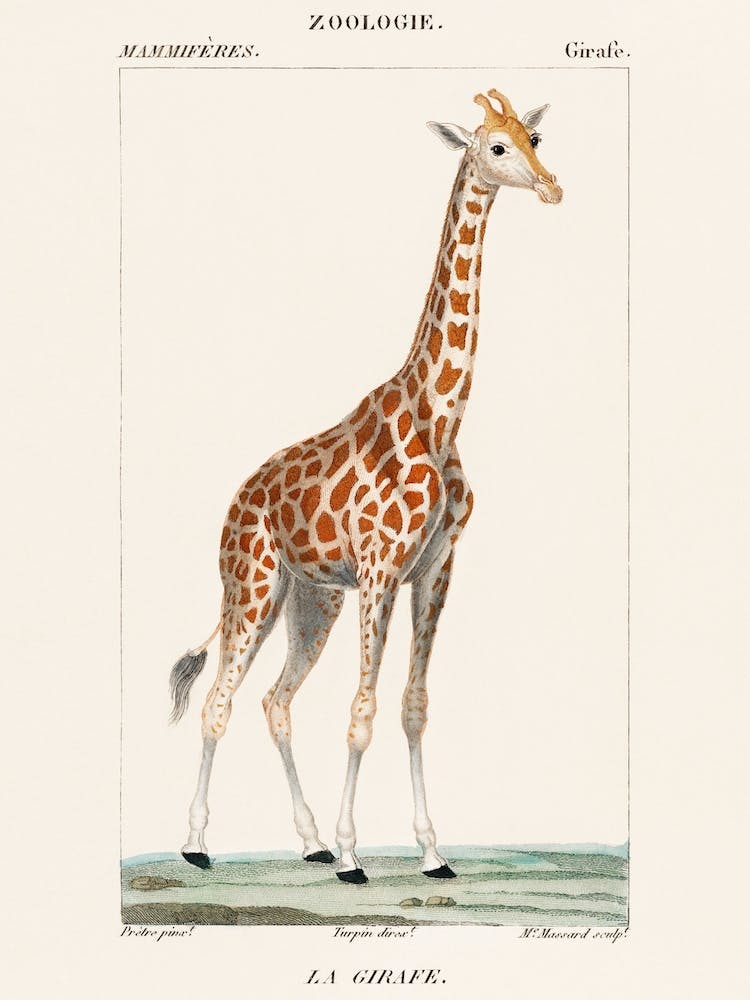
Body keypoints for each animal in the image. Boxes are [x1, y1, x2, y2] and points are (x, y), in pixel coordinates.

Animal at [169, 89, 563, 883]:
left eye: (533, 138)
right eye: (494, 147)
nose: (551, 187)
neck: (440, 416)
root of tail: (233, 504)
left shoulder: (434, 568)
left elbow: (412, 705)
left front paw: (432, 851)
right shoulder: (380, 569)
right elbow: (362, 712)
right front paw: (357, 853)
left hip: (309, 599)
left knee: (274, 701)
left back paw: (310, 839)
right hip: (250, 587)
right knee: (219, 700)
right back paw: (198, 843)